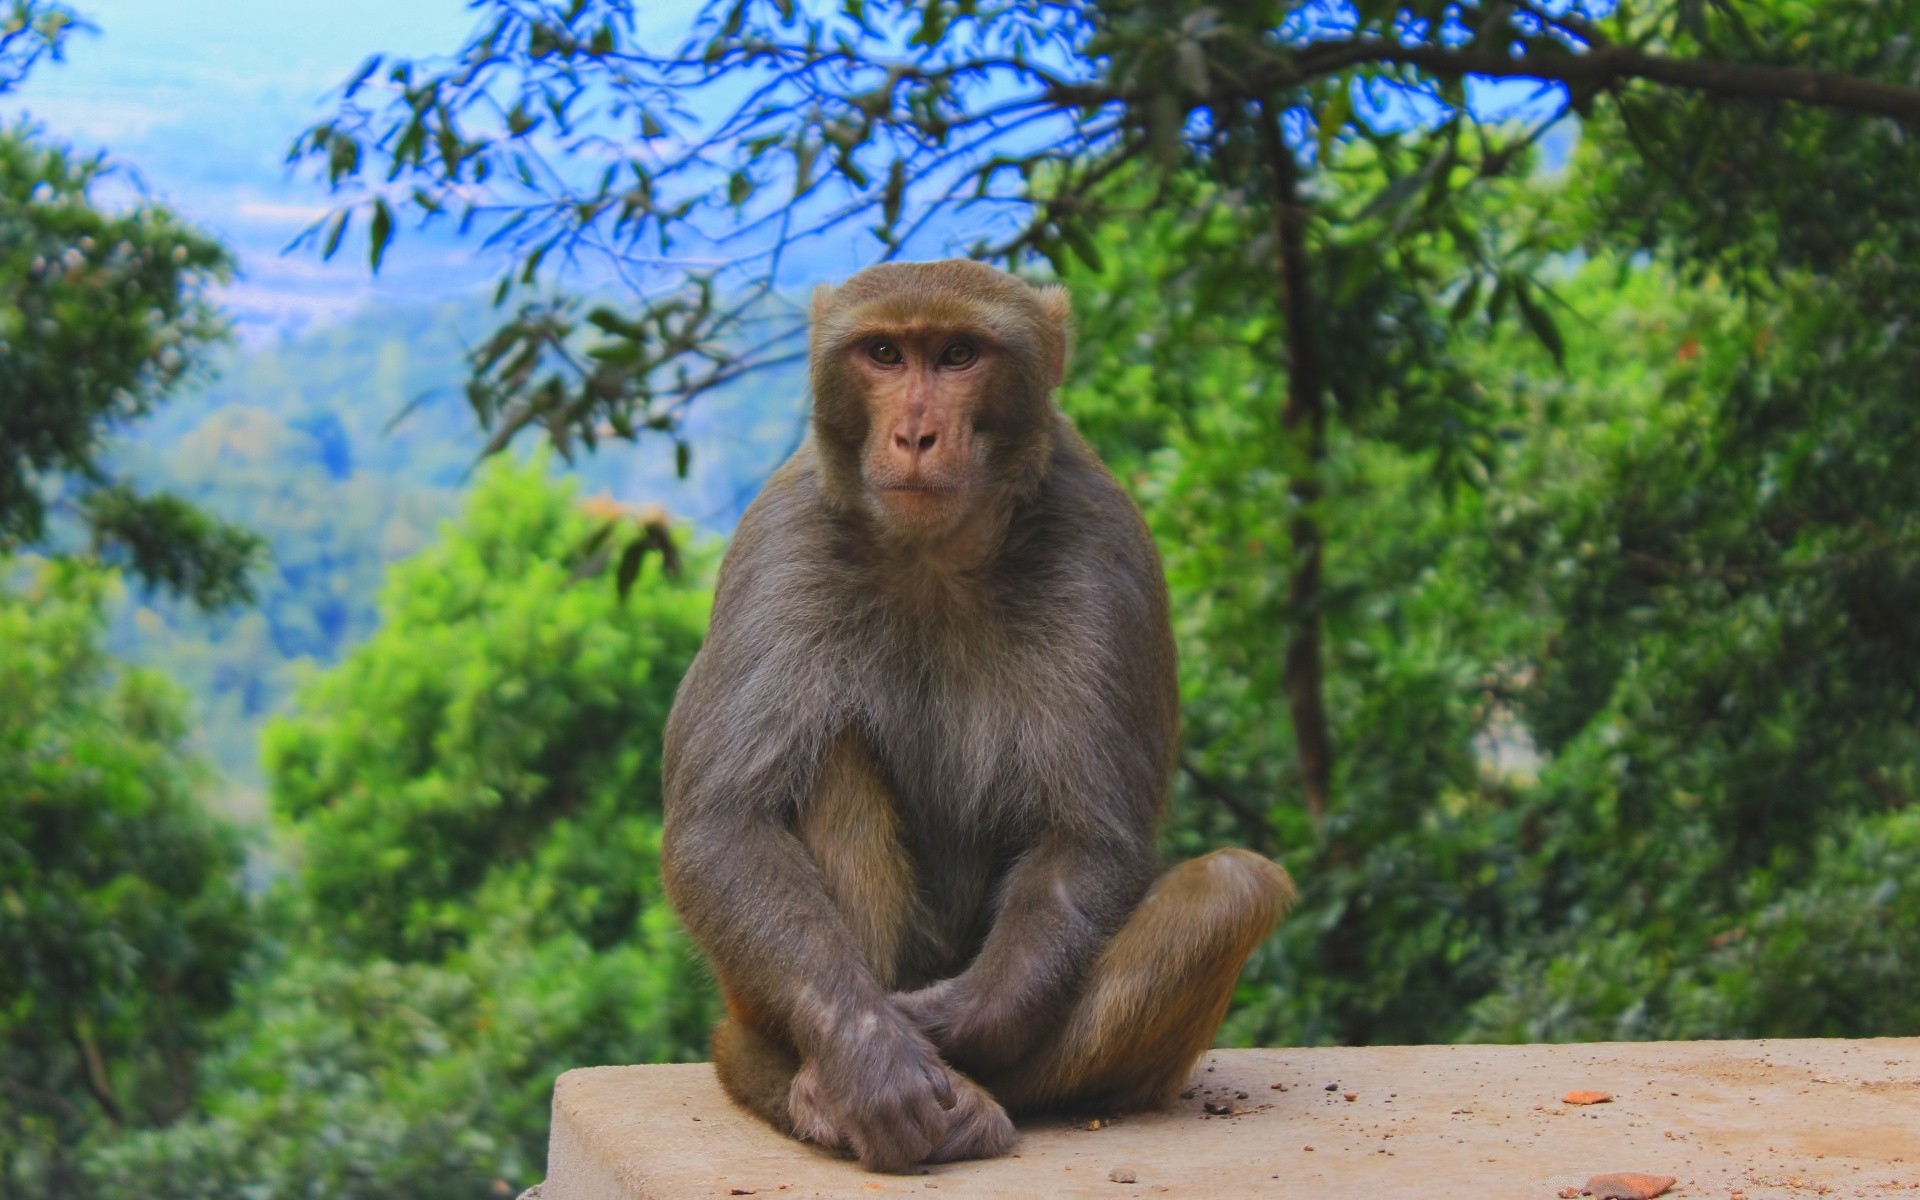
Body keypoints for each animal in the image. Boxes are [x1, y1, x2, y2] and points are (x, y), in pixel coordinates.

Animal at [656, 259, 1290, 1167]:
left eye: (958, 355)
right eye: (885, 353)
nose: (916, 434)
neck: (934, 555)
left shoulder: (1102, 542)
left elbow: (1089, 837)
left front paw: (942, 1020)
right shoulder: (783, 535)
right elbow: (723, 822)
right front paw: (875, 1057)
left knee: (1232, 888)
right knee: (827, 756)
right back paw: (813, 1089)